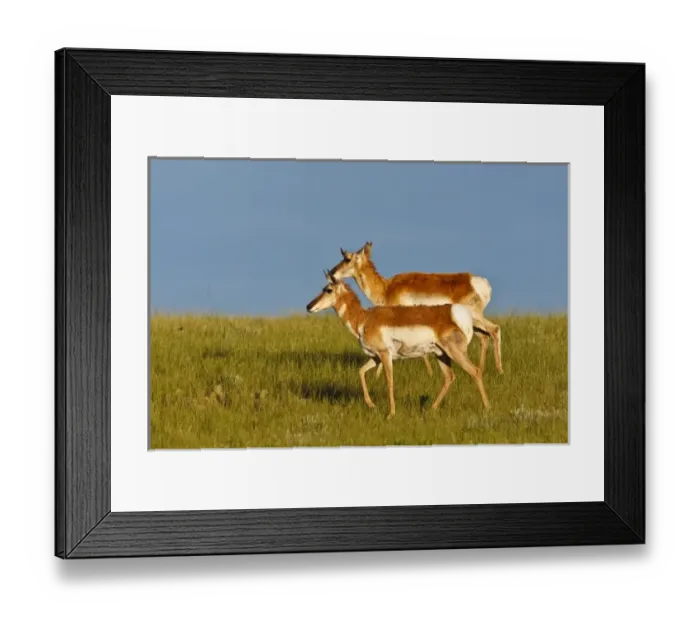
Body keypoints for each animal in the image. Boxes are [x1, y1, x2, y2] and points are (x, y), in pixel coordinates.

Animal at [305, 271, 490, 419]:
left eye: (328, 289)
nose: (309, 306)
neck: (364, 319)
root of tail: (455, 313)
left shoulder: (385, 355)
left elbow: (389, 381)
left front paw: (391, 413)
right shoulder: (375, 357)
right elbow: (361, 372)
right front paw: (371, 405)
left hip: (454, 352)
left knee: (475, 371)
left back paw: (487, 408)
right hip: (441, 355)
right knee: (449, 377)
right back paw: (431, 409)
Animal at [328, 242, 503, 378]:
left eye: (347, 258)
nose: (331, 273)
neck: (387, 288)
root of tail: (478, 281)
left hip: (474, 318)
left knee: (494, 330)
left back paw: (498, 370)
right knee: (485, 336)